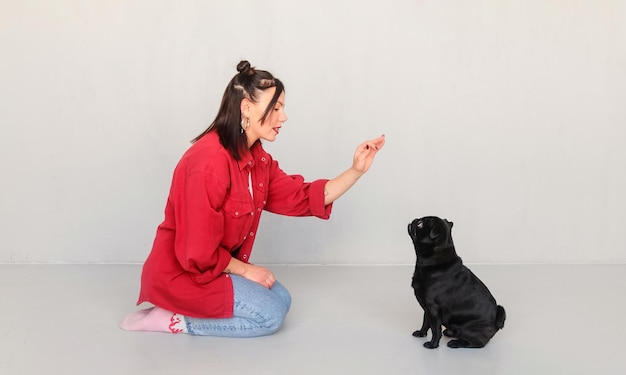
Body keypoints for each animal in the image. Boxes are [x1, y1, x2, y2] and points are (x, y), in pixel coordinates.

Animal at [408, 217, 504, 350]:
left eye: (420, 225)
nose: (415, 220)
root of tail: (495, 322)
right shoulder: (427, 308)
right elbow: (425, 323)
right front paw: (421, 333)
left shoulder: (432, 309)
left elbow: (435, 329)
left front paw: (433, 345)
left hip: (467, 330)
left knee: (477, 344)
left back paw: (455, 343)